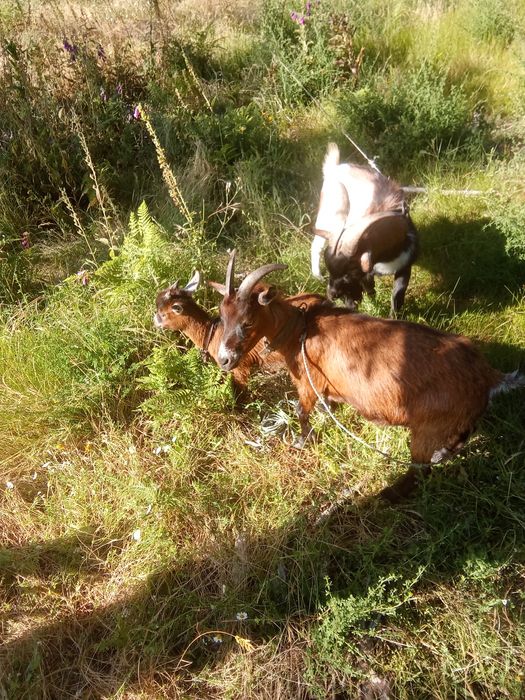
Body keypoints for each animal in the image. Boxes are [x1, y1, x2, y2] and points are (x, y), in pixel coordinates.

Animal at [217, 252, 524, 499]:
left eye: (248, 321)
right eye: (221, 317)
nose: (224, 359)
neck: (301, 327)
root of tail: (487, 375)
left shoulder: (308, 382)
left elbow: (301, 411)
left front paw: (303, 441)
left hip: (428, 427)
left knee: (420, 470)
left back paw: (388, 495)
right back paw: (442, 454)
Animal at [312, 143, 419, 314]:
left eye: (349, 274)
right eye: (330, 270)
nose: (331, 294)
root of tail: (335, 168)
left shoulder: (405, 262)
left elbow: (397, 293)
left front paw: (393, 315)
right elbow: (365, 288)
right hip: (330, 213)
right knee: (316, 243)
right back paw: (317, 275)